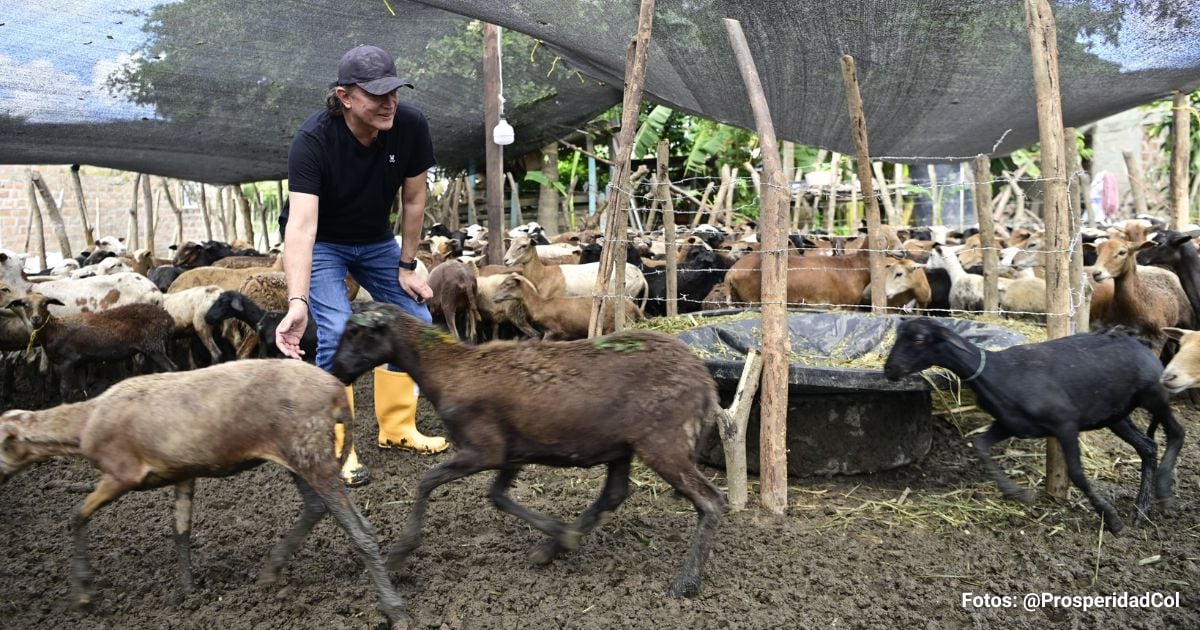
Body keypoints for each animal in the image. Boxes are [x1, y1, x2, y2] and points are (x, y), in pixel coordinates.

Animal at [492, 271, 643, 338]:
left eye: (508, 284)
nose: (493, 298)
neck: (539, 304)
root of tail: (635, 308)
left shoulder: (554, 330)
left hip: (612, 327)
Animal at [888, 316, 1185, 532]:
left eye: (919, 339)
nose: (890, 371)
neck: (997, 373)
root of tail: (1141, 344)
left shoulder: (1064, 424)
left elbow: (1077, 474)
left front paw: (1112, 520)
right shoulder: (1010, 424)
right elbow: (980, 445)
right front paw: (1018, 493)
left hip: (1154, 394)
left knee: (1177, 433)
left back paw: (1163, 491)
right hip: (1115, 415)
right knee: (1148, 447)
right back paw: (1143, 507)